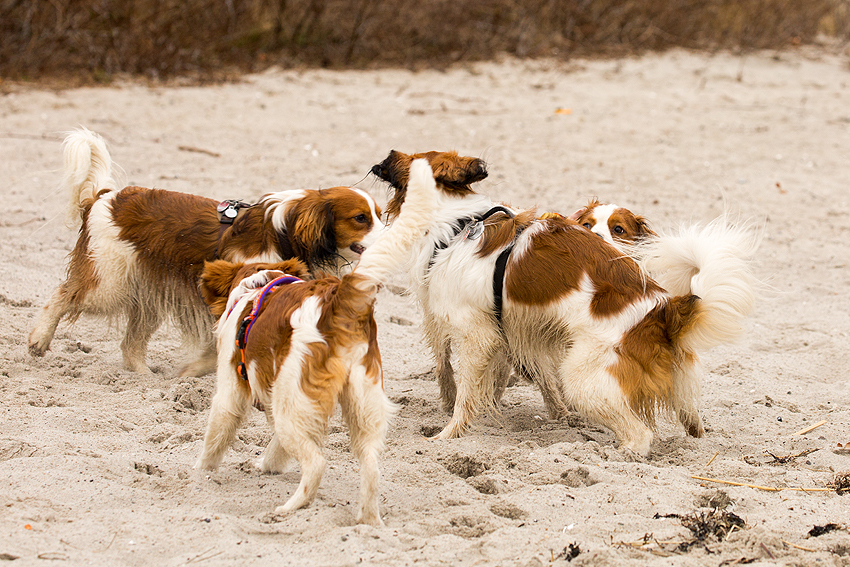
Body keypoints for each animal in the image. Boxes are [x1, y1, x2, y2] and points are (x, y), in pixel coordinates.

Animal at [29, 128, 380, 378]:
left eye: (378, 214)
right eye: (360, 218)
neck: (285, 232)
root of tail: (105, 197)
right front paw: (195, 371)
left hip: (146, 297)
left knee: (130, 346)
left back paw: (147, 379)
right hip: (109, 285)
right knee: (62, 295)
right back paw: (38, 339)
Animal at [195, 158, 438, 524]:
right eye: (361, 218)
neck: (256, 282)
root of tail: (339, 303)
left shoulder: (231, 392)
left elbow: (215, 438)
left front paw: (200, 472)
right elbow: (276, 446)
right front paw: (269, 464)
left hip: (293, 402)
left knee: (317, 463)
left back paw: (290, 507)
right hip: (362, 406)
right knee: (370, 467)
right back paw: (368, 520)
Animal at [372, 151, 756, 458]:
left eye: (407, 158)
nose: (385, 156)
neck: (460, 225)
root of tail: (662, 311)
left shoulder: (474, 334)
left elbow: (465, 395)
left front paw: (449, 434)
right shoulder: (503, 331)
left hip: (583, 379)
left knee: (641, 434)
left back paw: (618, 453)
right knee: (691, 419)